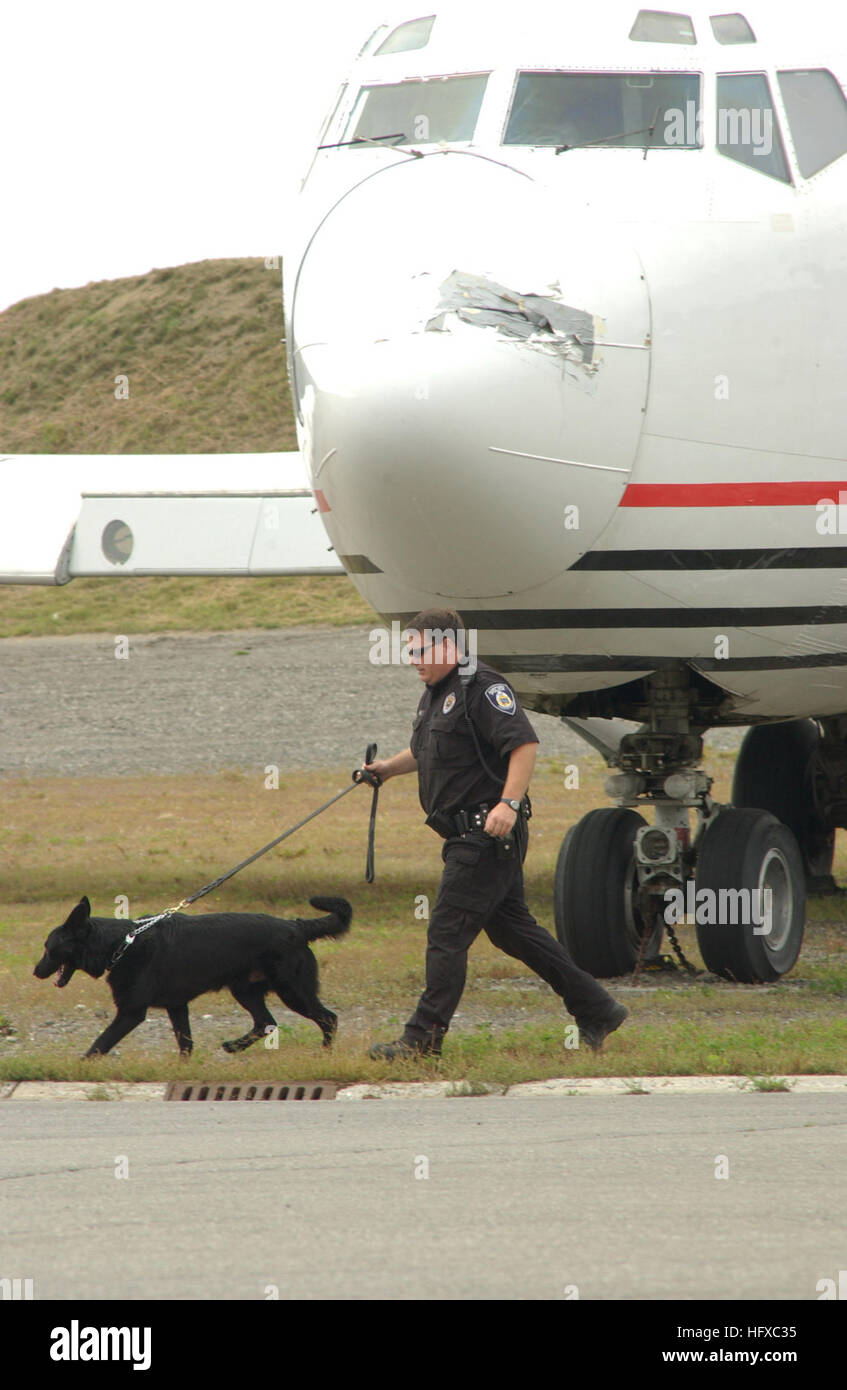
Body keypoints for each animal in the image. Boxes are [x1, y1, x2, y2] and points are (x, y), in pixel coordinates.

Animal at [33, 895, 350, 1056]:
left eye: (48, 948)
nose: (35, 972)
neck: (123, 943)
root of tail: (297, 926)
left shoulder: (131, 1012)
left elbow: (99, 1045)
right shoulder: (177, 1006)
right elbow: (185, 1044)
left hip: (292, 991)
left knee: (328, 1018)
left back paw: (325, 1052)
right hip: (245, 990)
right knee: (266, 1023)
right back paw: (233, 1047)